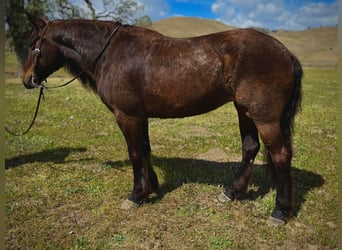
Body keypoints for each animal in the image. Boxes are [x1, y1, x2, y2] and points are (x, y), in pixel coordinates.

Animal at [22, 13, 302, 226]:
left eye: (33, 42)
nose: (26, 79)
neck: (111, 53)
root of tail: (286, 52)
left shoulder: (127, 116)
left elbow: (135, 153)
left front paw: (136, 195)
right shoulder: (140, 116)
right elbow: (145, 149)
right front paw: (152, 187)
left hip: (265, 118)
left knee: (280, 155)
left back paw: (279, 211)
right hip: (244, 111)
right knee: (250, 148)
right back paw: (232, 192)